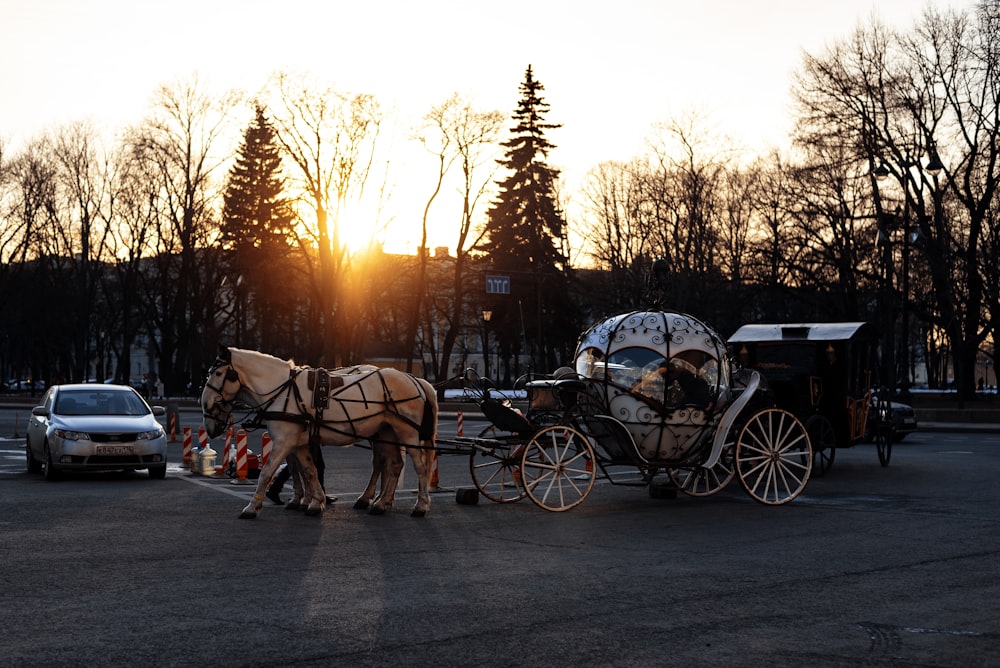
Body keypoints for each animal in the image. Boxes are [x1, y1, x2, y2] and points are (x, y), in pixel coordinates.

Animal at [201, 348, 436, 520]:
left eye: (219, 373)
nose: (205, 404)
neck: (284, 390)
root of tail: (415, 379)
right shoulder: (298, 444)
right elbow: (309, 470)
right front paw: (314, 502)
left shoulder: (284, 442)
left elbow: (266, 472)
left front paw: (252, 507)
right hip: (386, 434)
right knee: (393, 464)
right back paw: (380, 502)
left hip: (407, 434)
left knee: (419, 466)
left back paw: (420, 505)